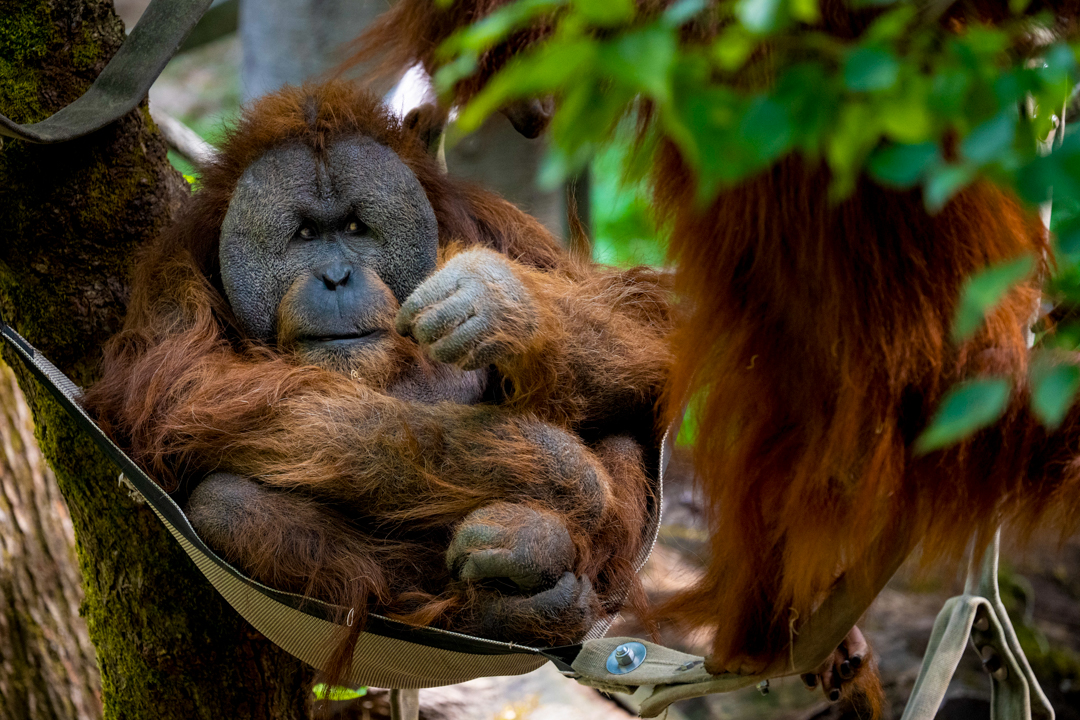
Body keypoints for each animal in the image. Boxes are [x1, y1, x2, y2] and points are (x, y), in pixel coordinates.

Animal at [83, 82, 673, 653]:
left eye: (354, 227)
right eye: (304, 235)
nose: (336, 276)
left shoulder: (501, 226)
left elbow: (645, 322)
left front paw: (500, 302)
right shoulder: (171, 277)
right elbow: (190, 392)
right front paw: (564, 475)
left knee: (625, 434)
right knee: (223, 505)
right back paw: (513, 590)